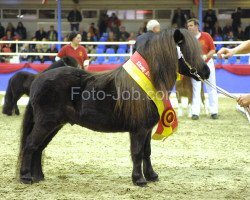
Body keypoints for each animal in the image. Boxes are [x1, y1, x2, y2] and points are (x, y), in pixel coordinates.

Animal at [18, 28, 210, 187]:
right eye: (187, 51)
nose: (206, 72)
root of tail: (38, 79)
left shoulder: (147, 129)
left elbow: (147, 152)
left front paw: (151, 175)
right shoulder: (139, 130)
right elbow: (137, 152)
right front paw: (139, 179)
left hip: (54, 125)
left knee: (39, 148)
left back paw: (38, 177)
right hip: (46, 123)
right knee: (30, 145)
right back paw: (26, 177)